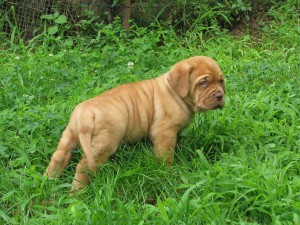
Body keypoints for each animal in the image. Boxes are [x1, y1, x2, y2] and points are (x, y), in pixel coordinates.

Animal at [44, 55, 225, 192]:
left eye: (221, 81)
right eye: (203, 83)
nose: (220, 96)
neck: (175, 93)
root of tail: (84, 114)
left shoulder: (175, 132)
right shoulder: (164, 132)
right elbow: (165, 156)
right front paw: (167, 172)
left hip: (70, 136)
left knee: (59, 156)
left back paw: (48, 181)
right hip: (104, 144)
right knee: (84, 167)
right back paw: (77, 193)